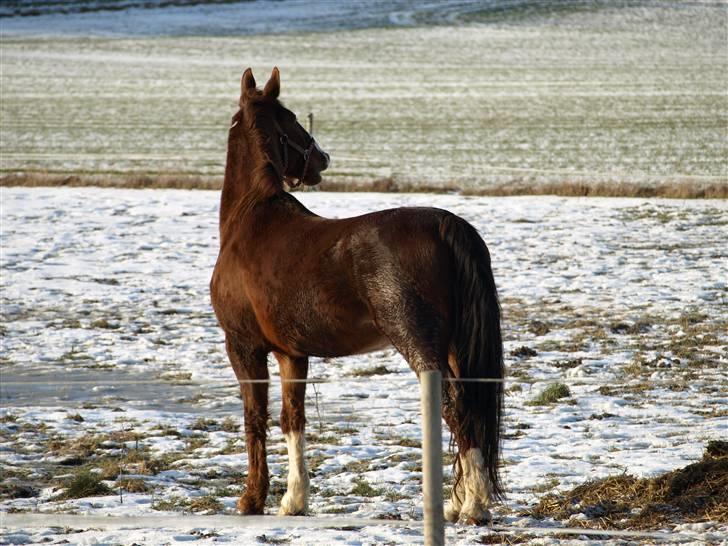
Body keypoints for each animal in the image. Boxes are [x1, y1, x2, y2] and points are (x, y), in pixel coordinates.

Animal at [212, 68, 500, 524]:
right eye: (290, 119)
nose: (322, 158)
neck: (251, 220)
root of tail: (446, 225)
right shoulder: (292, 353)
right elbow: (293, 419)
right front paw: (294, 500)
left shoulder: (244, 347)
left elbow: (254, 418)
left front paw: (252, 499)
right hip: (455, 347)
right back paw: (461, 501)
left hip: (419, 345)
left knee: (455, 408)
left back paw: (474, 506)